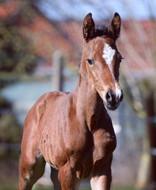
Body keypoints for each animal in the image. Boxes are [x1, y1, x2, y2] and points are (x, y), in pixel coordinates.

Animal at [18, 12, 123, 189]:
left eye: (120, 59)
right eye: (90, 60)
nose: (114, 96)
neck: (88, 122)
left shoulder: (102, 170)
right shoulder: (68, 172)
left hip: (55, 172)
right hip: (30, 167)